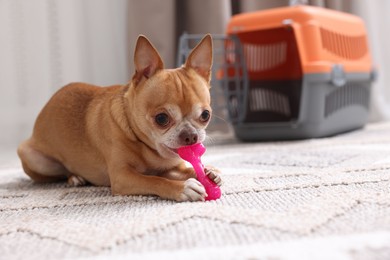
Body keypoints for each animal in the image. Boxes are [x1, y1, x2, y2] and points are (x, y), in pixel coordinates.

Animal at [16, 34, 221, 201]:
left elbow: (186, 169)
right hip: (34, 158)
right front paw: (183, 187)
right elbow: (154, 180)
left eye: (205, 115)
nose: (191, 136)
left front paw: (209, 172)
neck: (147, 148)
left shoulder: (170, 167)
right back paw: (74, 177)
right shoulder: (123, 177)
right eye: (161, 118)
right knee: (58, 173)